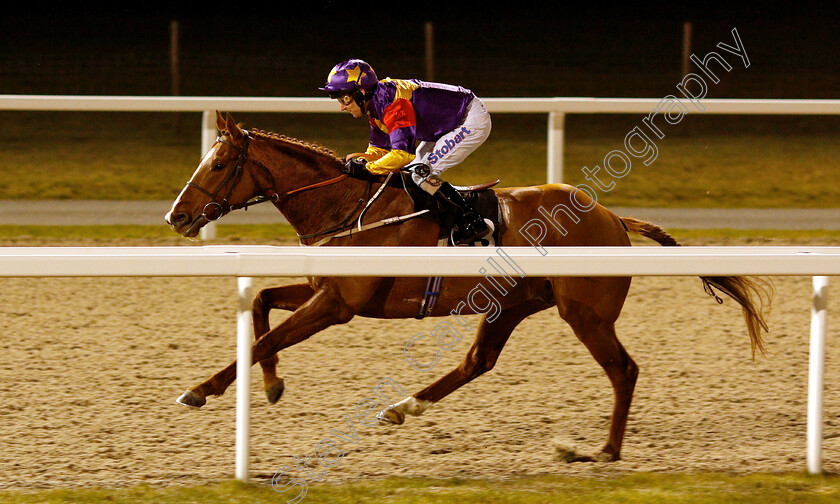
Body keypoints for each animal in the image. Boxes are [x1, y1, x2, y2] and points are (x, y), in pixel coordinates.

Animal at [166, 112, 776, 462]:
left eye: (217, 164)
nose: (177, 217)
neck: (347, 206)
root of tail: (612, 218)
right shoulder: (325, 289)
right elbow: (261, 305)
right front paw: (271, 385)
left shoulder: (341, 303)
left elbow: (263, 337)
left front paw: (201, 388)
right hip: (511, 304)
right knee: (478, 361)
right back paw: (403, 406)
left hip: (585, 312)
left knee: (623, 370)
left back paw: (605, 450)